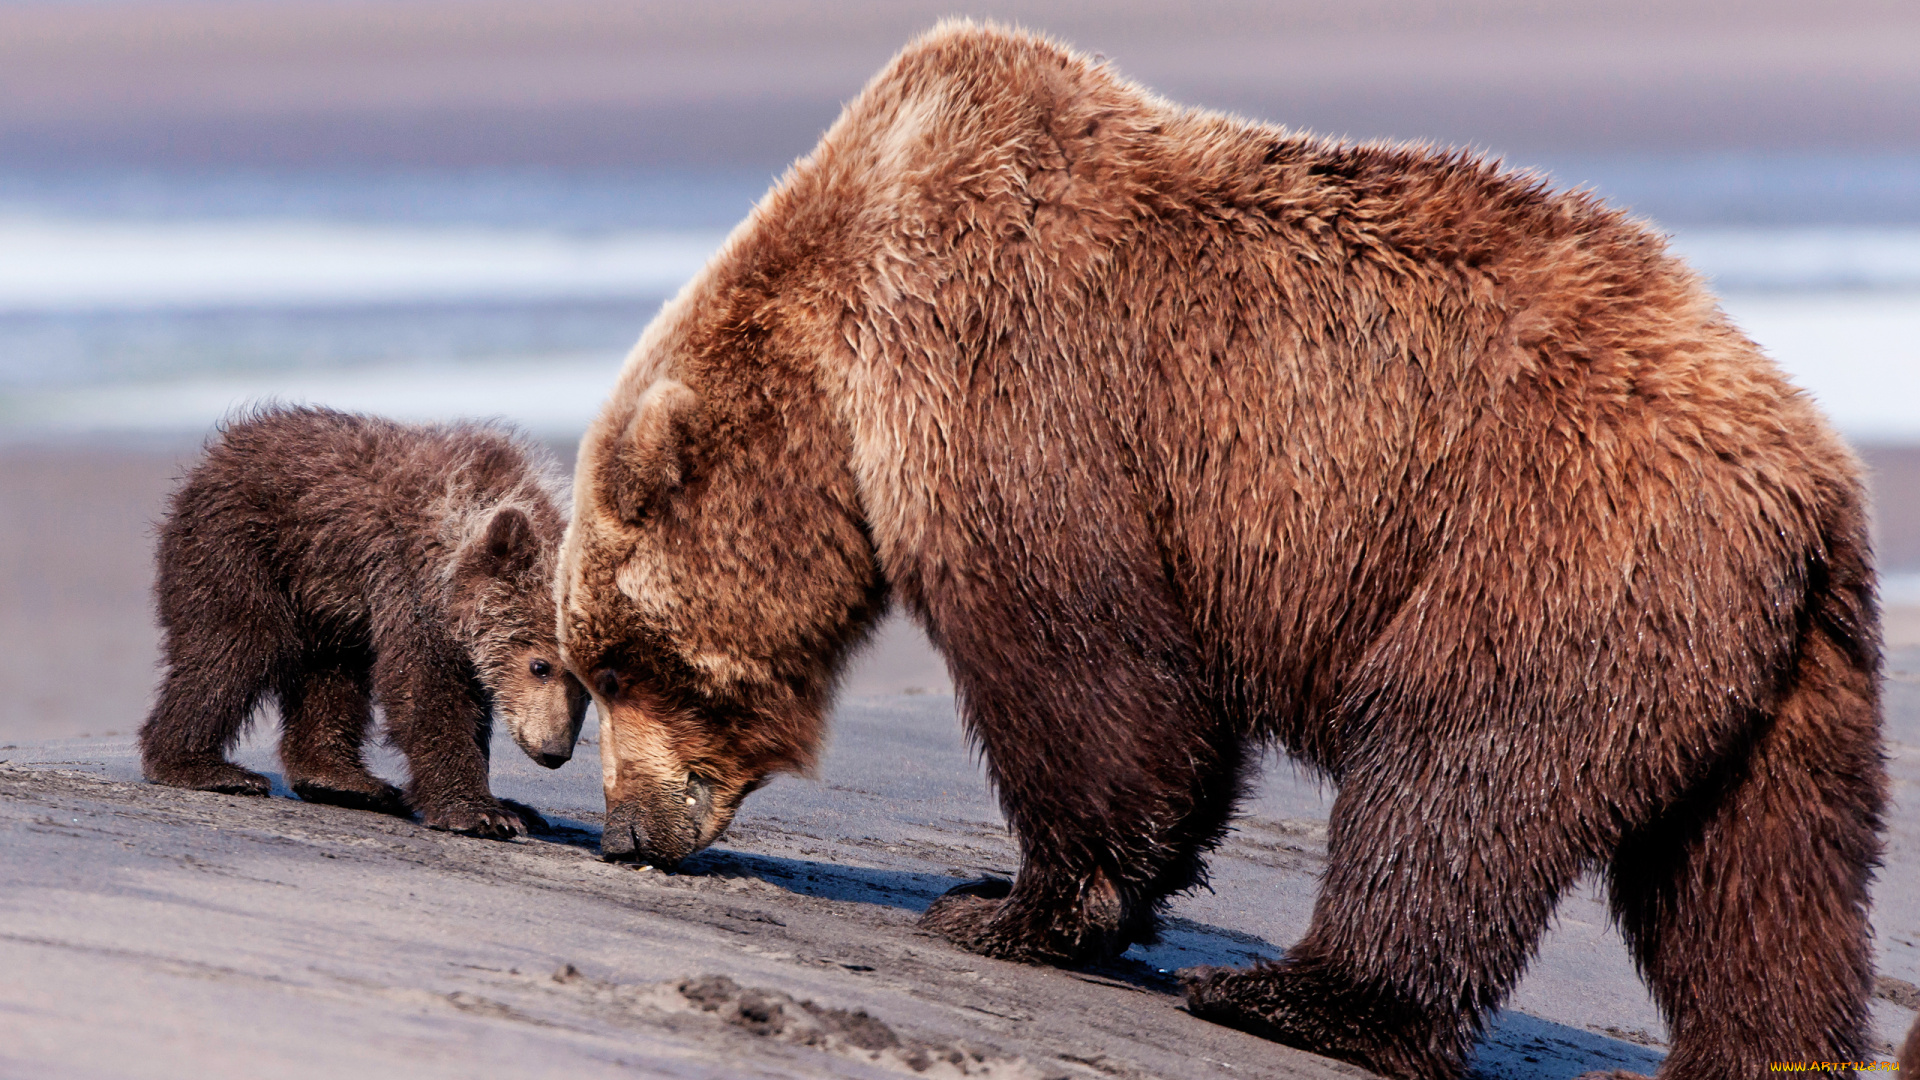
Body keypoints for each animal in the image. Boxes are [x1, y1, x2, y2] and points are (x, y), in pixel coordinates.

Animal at [556, 18, 1889, 1076]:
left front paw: (1004, 905)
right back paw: (1758, 1051)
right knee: (1761, 883)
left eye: (618, 663)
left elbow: (1089, 668)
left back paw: (1297, 995)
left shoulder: (1009, 372)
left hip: (1552, 537)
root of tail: (1812, 473)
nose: (627, 832)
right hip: (1781, 671)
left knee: (1457, 758)